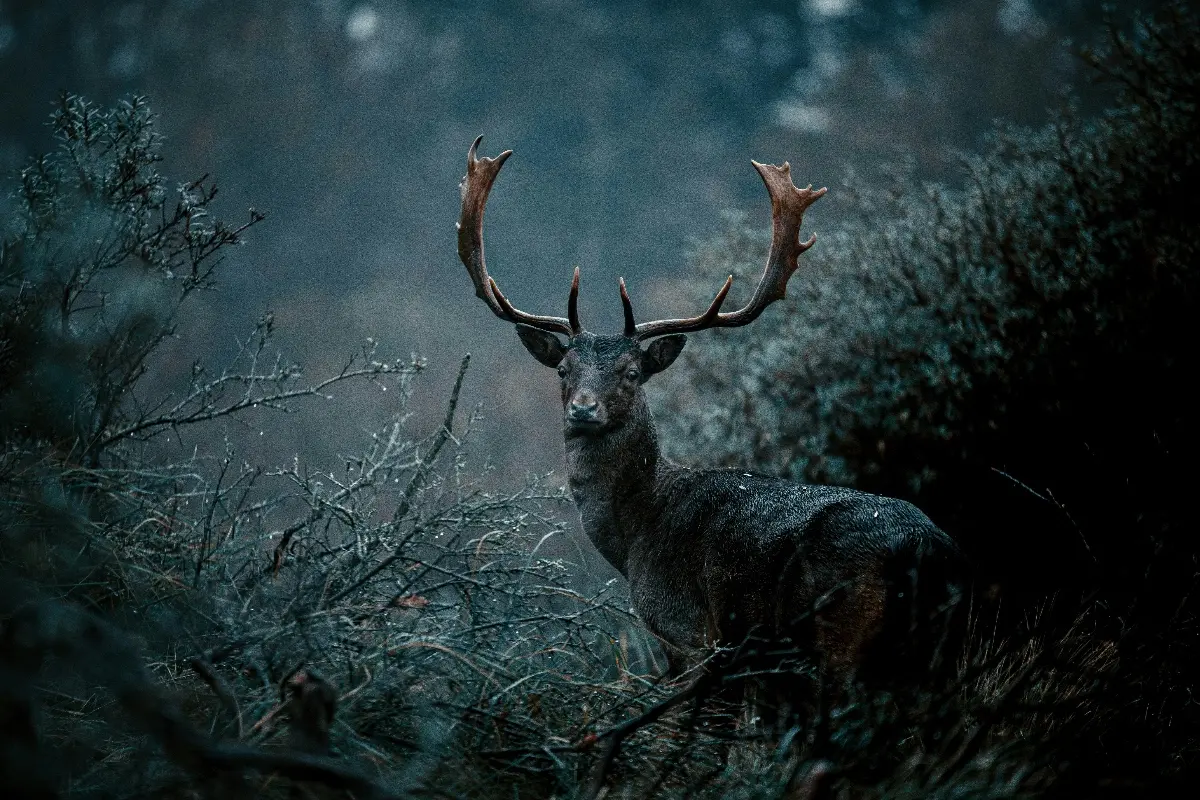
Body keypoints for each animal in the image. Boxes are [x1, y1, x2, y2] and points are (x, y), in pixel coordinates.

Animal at [453, 137, 969, 719]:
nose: (583, 409)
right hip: (940, 653)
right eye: (563, 370)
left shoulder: (690, 633)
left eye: (632, 372)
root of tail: (927, 553)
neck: (635, 537)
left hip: (840, 640)